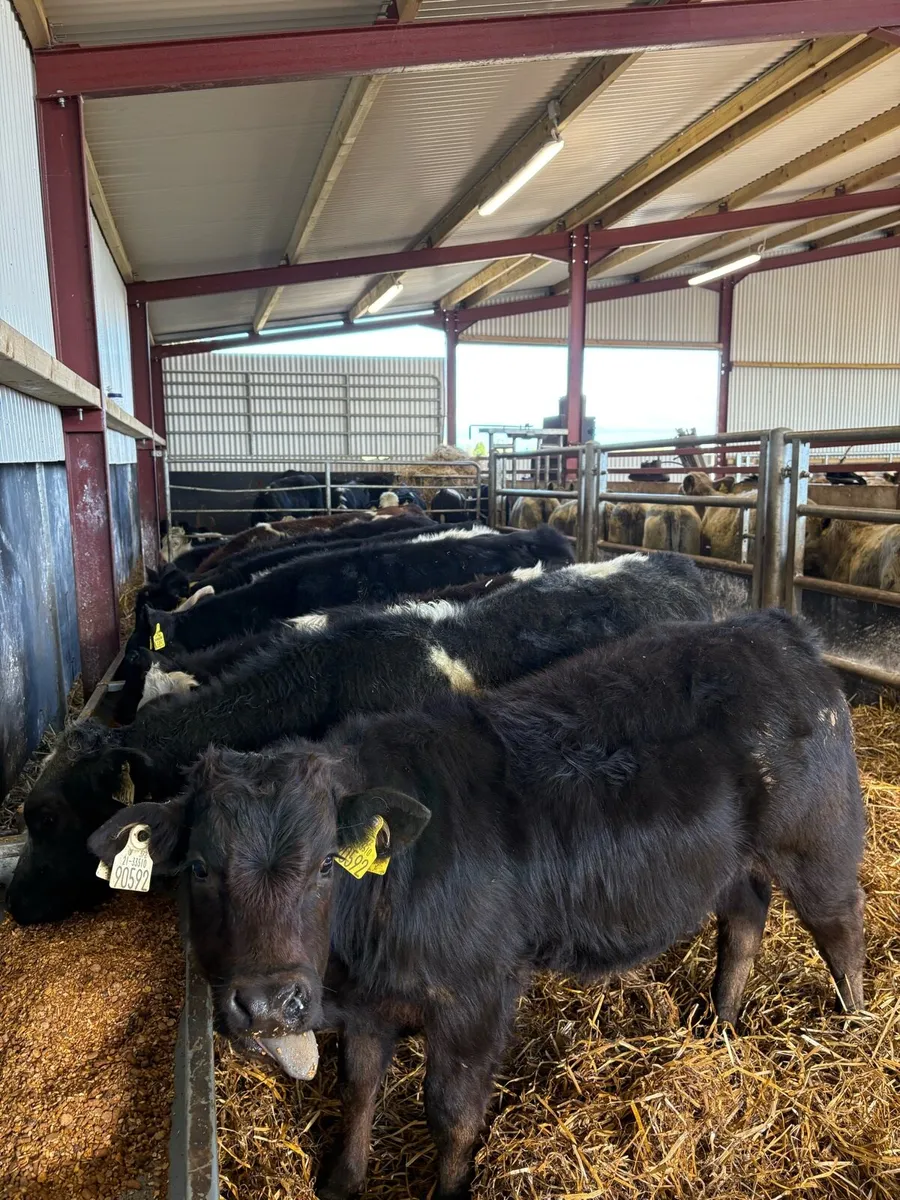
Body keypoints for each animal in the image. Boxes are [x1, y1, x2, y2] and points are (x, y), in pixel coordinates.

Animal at [89, 609, 865, 1200]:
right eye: (200, 866)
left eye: (324, 866)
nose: (266, 1004)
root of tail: (768, 627)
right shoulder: (368, 1008)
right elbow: (358, 1089)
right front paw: (342, 1179)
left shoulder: (477, 996)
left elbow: (452, 1114)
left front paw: (449, 1188)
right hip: (731, 864)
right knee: (744, 919)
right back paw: (721, 1022)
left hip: (817, 843)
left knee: (840, 931)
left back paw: (855, 1025)